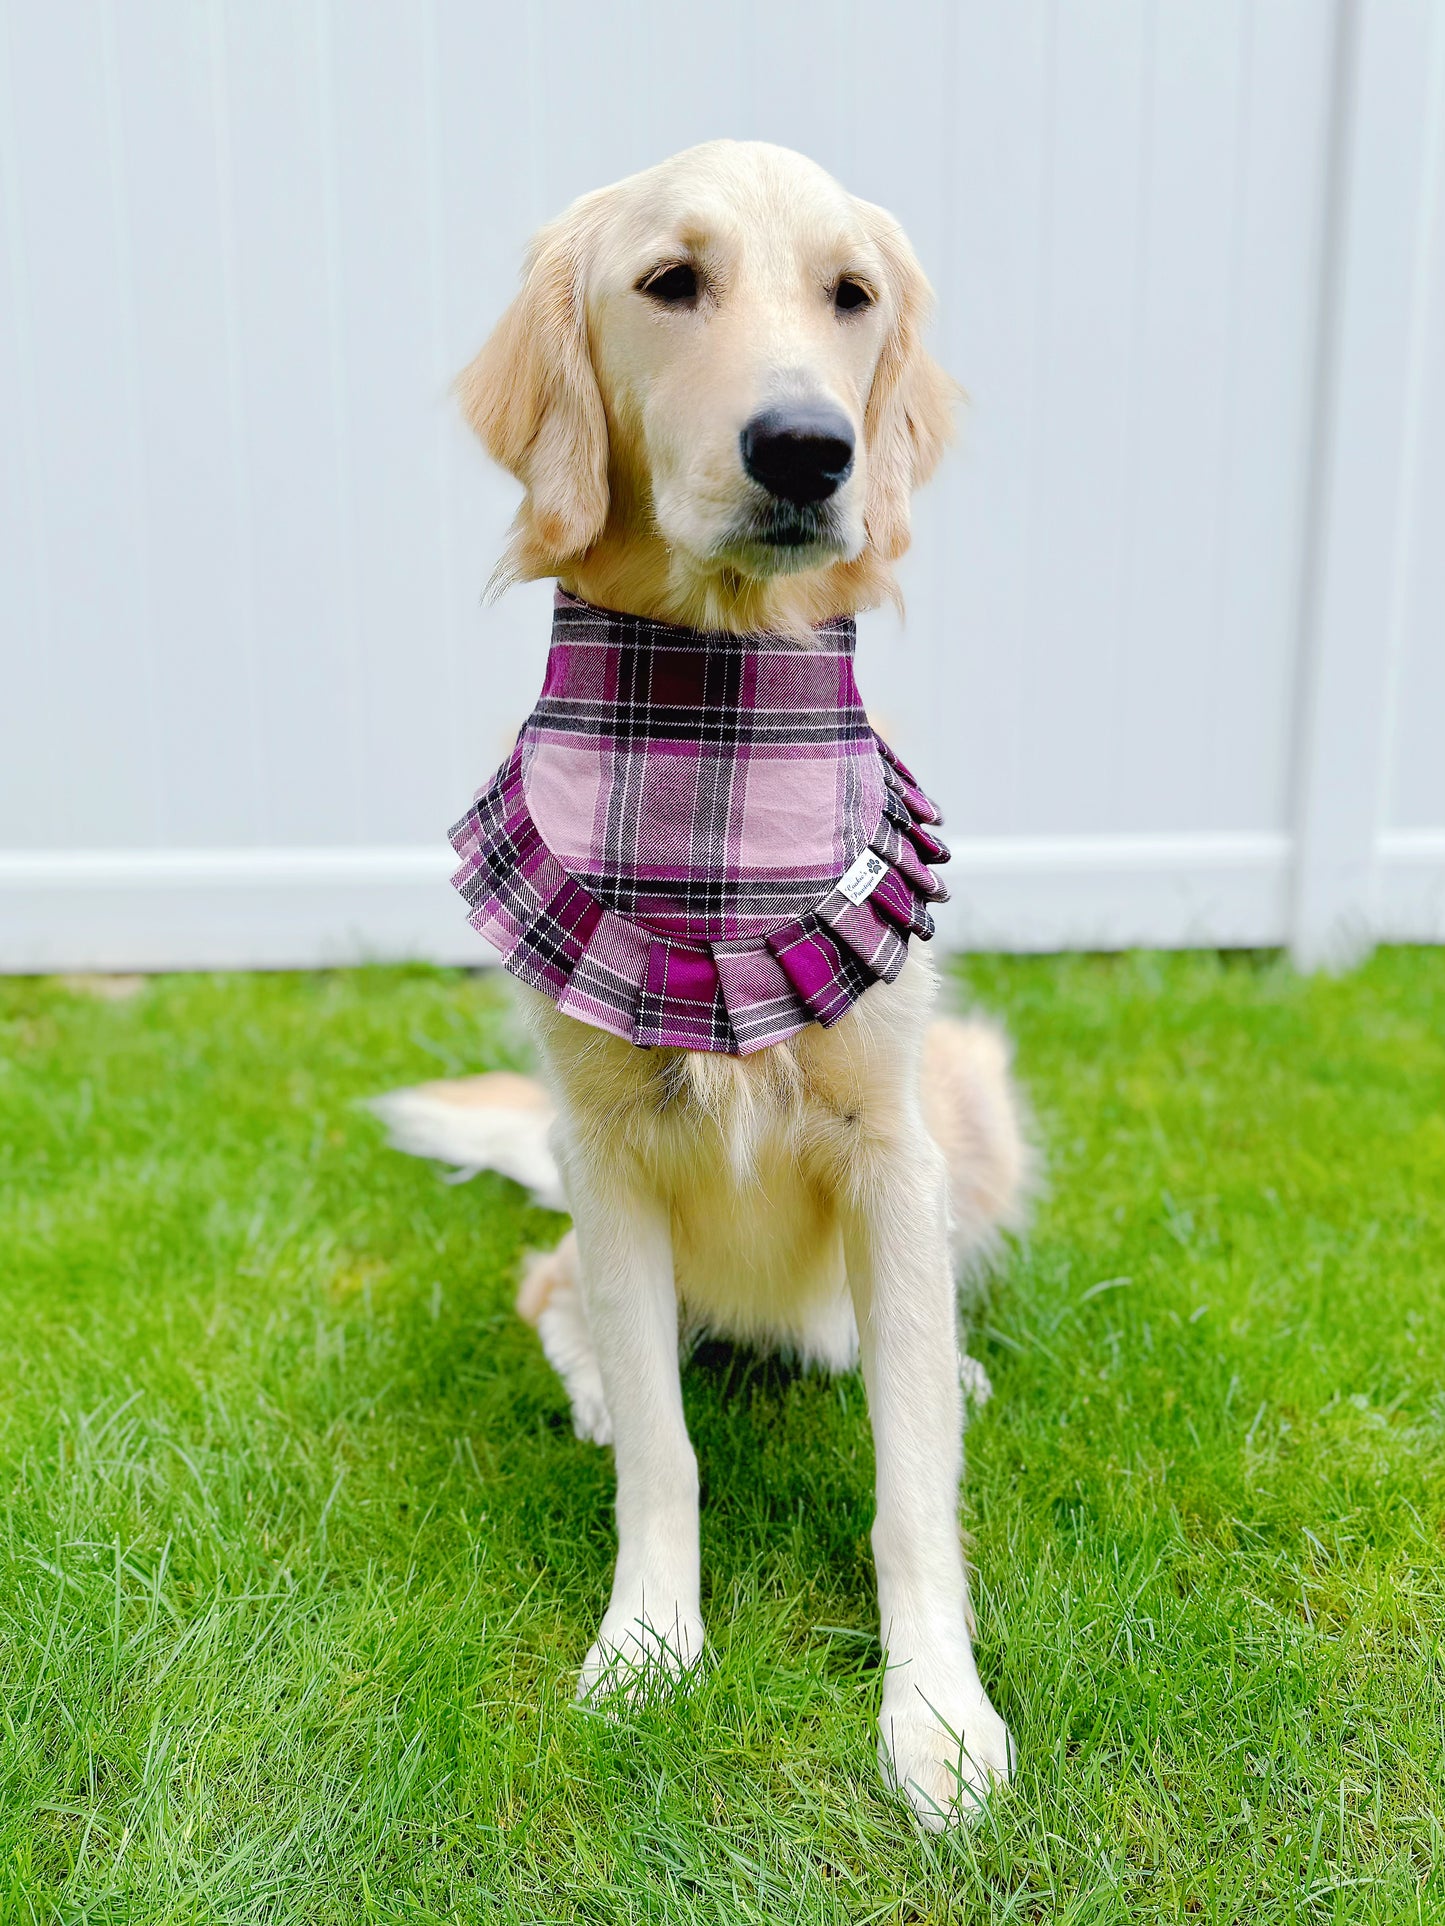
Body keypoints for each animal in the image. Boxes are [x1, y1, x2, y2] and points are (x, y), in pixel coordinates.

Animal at [375, 142, 1032, 1825]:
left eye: (850, 295)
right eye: (670, 282)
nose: (807, 447)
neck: (715, 719)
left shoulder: (891, 1142)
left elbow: (912, 1486)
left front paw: (936, 1714)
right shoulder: (604, 1147)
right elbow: (664, 1461)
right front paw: (647, 1641)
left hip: (976, 1110)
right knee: (549, 1291)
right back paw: (603, 1380)